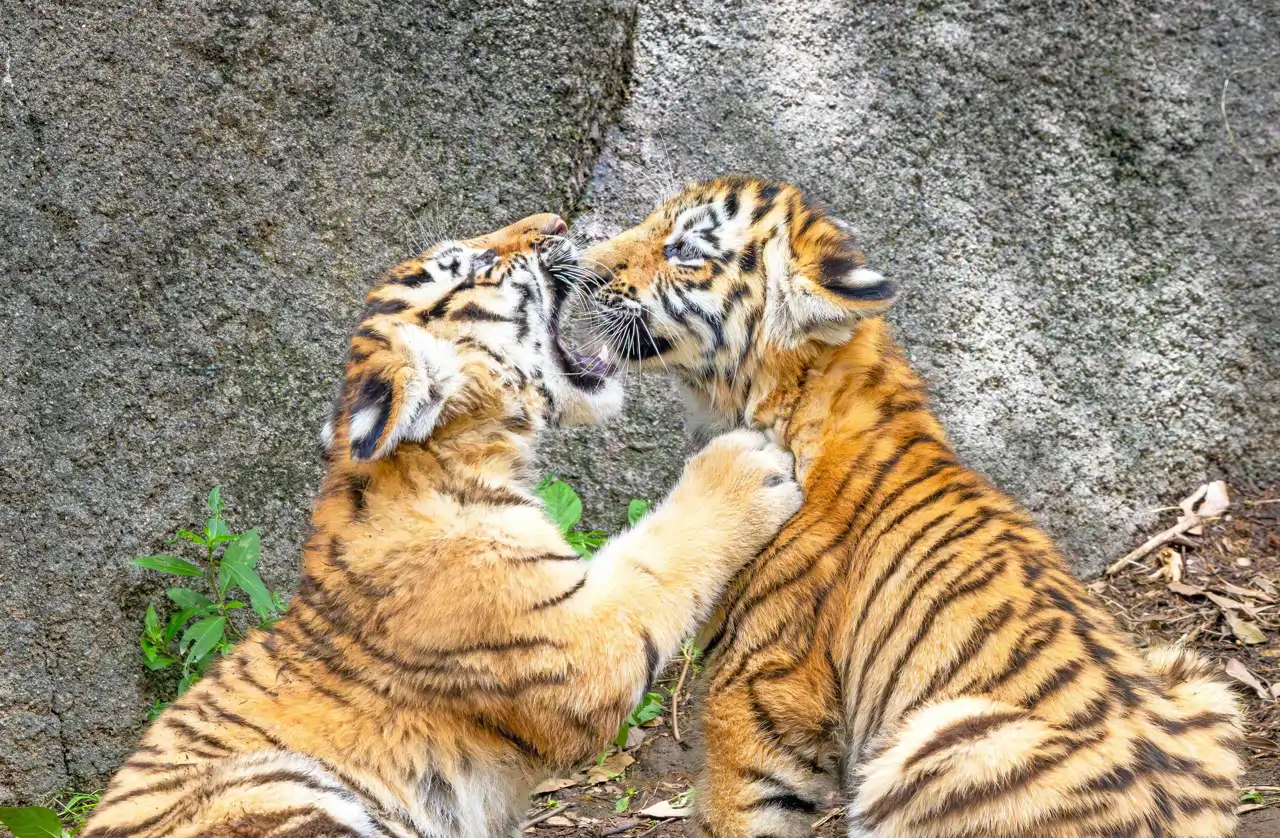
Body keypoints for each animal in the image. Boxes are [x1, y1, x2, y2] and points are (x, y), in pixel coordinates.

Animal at [81, 212, 804, 838]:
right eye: (476, 265)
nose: (558, 221)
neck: (458, 454)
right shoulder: (575, 642)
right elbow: (656, 557)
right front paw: (746, 465)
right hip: (279, 792)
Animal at [579, 177, 1244, 838]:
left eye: (684, 250)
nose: (581, 268)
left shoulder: (762, 686)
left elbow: (738, 810)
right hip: (1197, 679)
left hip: (941, 741)